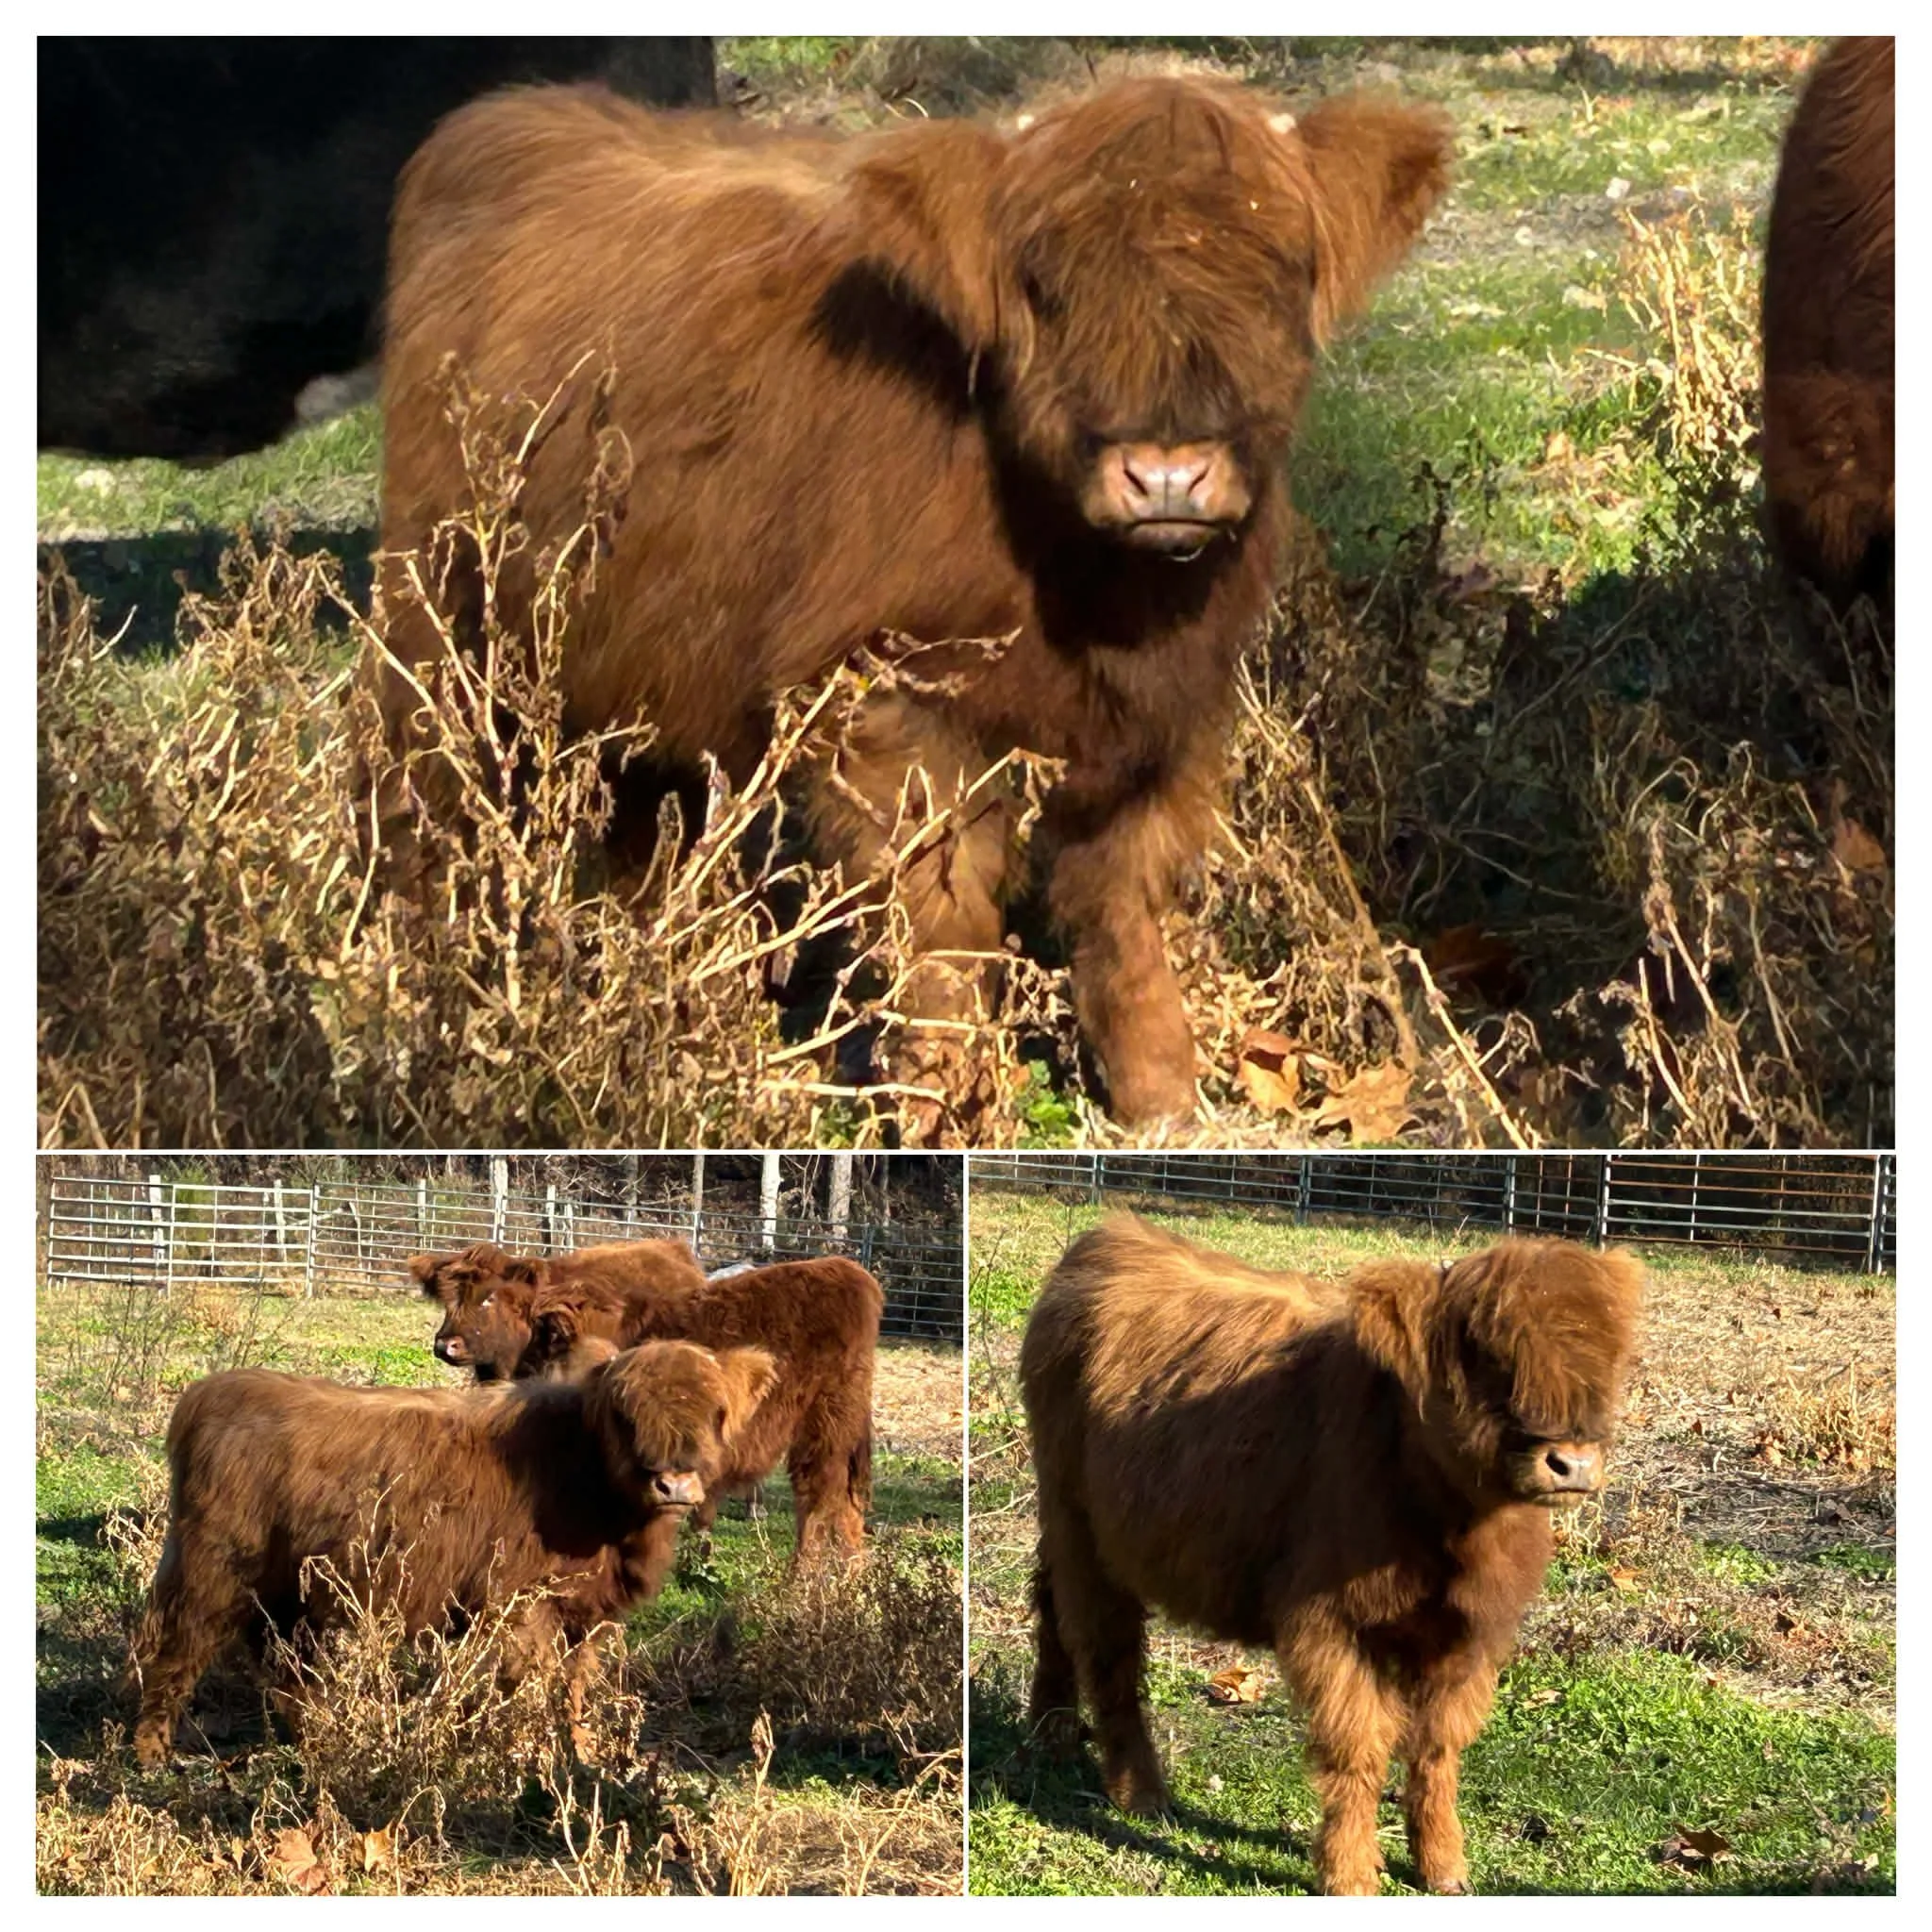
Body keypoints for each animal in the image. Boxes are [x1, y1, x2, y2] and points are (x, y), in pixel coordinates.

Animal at [130, 1339, 776, 1768]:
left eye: (716, 1414)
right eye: (626, 1417)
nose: (675, 1484)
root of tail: (217, 1391)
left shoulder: (588, 1614)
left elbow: (573, 1690)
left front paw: (581, 1754)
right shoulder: (521, 1606)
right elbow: (525, 1685)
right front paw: (522, 1754)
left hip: (289, 1592)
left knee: (284, 1666)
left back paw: (316, 1736)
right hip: (211, 1573)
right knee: (176, 1654)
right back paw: (151, 1754)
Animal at [369, 76, 1453, 1128]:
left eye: (1277, 277)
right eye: (1047, 288)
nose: (1167, 476)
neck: (1099, 602)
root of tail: (513, 114)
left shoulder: (1170, 720)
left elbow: (1127, 910)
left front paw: (1165, 1107)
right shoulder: (887, 700)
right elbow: (941, 920)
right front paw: (944, 1108)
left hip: (634, 666)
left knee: (646, 833)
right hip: (438, 619)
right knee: (416, 790)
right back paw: (416, 993)